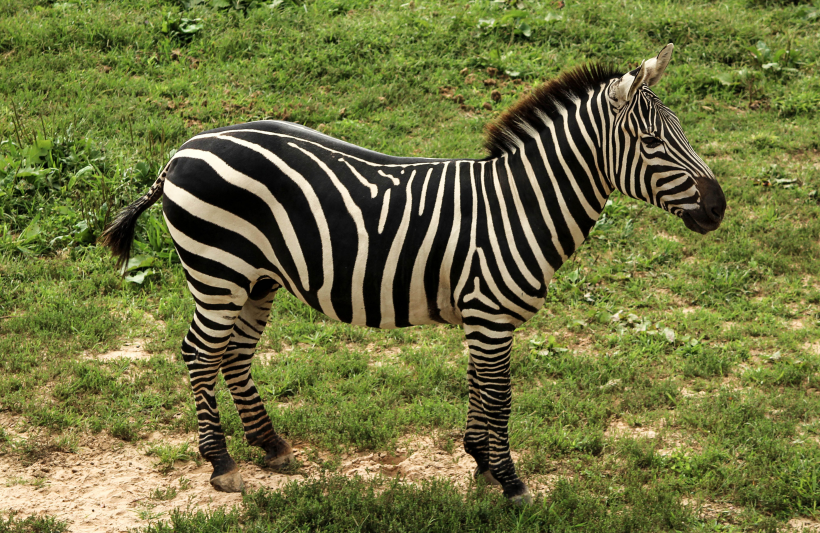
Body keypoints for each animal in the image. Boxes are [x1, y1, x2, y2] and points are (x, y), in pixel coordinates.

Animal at [101, 44, 724, 502]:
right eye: (652, 141)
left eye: (679, 129)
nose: (719, 208)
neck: (520, 204)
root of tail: (183, 150)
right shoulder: (491, 314)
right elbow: (500, 396)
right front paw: (511, 482)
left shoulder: (482, 316)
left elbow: (480, 387)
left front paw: (480, 462)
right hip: (218, 271)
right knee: (198, 353)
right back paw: (221, 461)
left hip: (257, 278)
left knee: (232, 355)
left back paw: (270, 445)